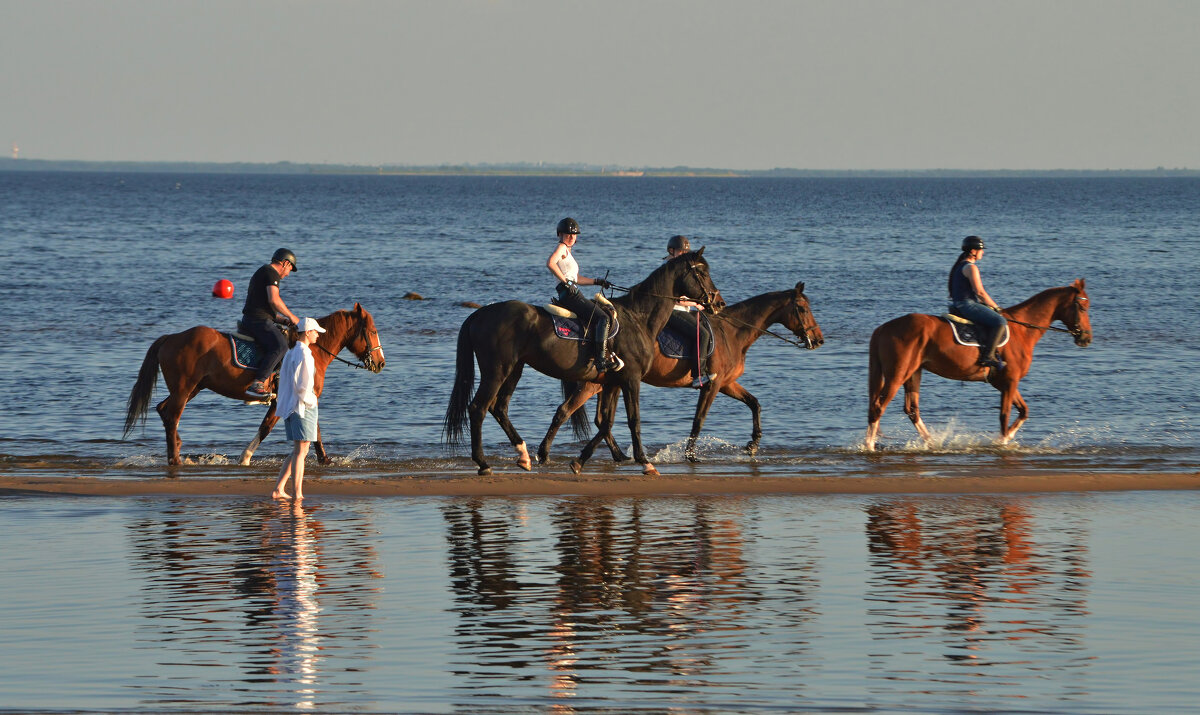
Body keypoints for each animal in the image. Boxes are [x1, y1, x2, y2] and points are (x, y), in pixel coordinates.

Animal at [123, 303, 384, 465]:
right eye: (372, 331)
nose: (381, 363)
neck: (311, 349)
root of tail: (172, 338)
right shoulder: (285, 400)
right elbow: (266, 427)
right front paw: (245, 457)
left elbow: (315, 430)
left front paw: (325, 459)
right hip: (185, 388)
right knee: (172, 416)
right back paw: (175, 458)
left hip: (191, 388)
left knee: (164, 410)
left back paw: (177, 449)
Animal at [441, 248, 720, 477]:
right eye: (702, 272)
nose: (717, 301)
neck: (638, 318)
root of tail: (480, 313)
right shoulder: (631, 380)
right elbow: (633, 420)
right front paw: (645, 462)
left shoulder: (612, 382)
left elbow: (606, 423)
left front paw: (580, 461)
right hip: (497, 371)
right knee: (478, 408)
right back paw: (483, 463)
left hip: (514, 370)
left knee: (499, 408)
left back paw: (524, 455)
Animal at [540, 280, 820, 463]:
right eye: (803, 309)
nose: (818, 339)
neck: (732, 333)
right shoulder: (712, 385)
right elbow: (699, 419)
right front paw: (691, 455)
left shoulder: (727, 383)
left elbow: (754, 403)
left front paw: (752, 445)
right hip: (596, 383)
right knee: (567, 411)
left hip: (608, 383)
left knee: (598, 419)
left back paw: (618, 455)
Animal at [868, 275, 1094, 448]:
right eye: (1083, 307)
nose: (1086, 338)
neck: (1022, 331)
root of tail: (884, 327)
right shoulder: (1010, 381)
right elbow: (1005, 414)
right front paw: (1002, 443)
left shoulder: (1004, 382)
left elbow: (1024, 411)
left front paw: (1007, 438)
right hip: (898, 374)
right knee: (879, 407)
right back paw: (868, 445)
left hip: (913, 372)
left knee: (911, 410)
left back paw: (932, 442)